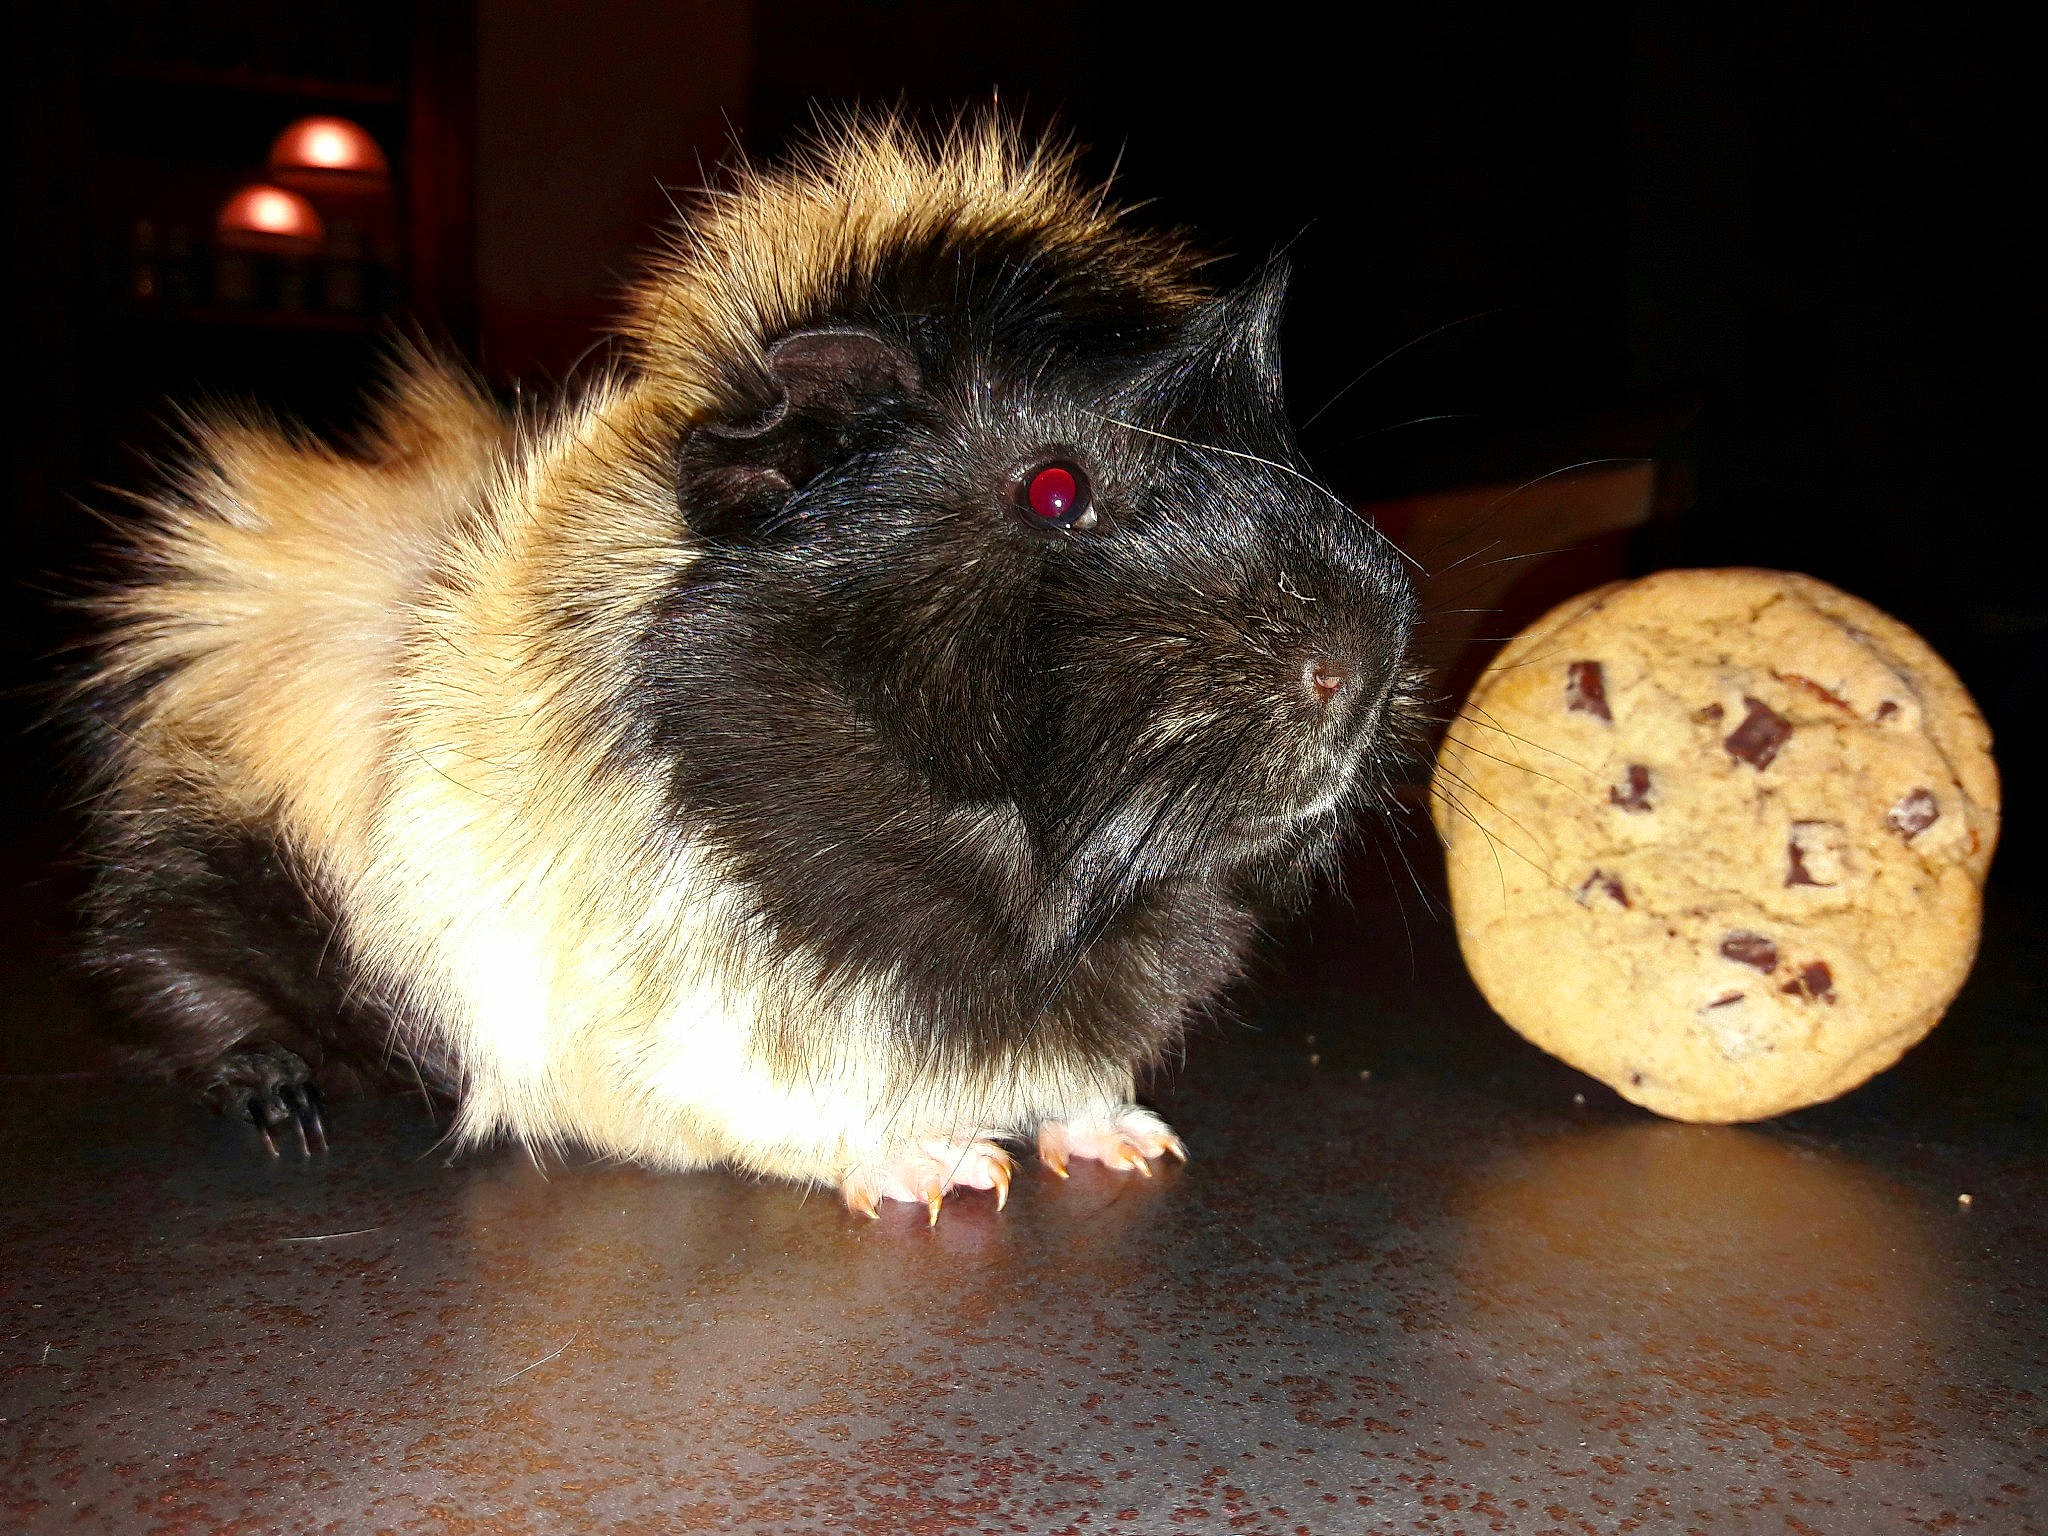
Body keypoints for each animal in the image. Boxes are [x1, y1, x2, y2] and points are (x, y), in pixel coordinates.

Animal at [76, 116, 1419, 1218]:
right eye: (1052, 489)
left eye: (1276, 435)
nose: (1361, 660)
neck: (1024, 888)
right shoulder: (678, 1034)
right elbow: (784, 1114)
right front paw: (946, 1171)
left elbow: (1077, 1081)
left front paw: (1130, 1141)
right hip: (187, 899)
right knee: (176, 995)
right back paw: (279, 1104)